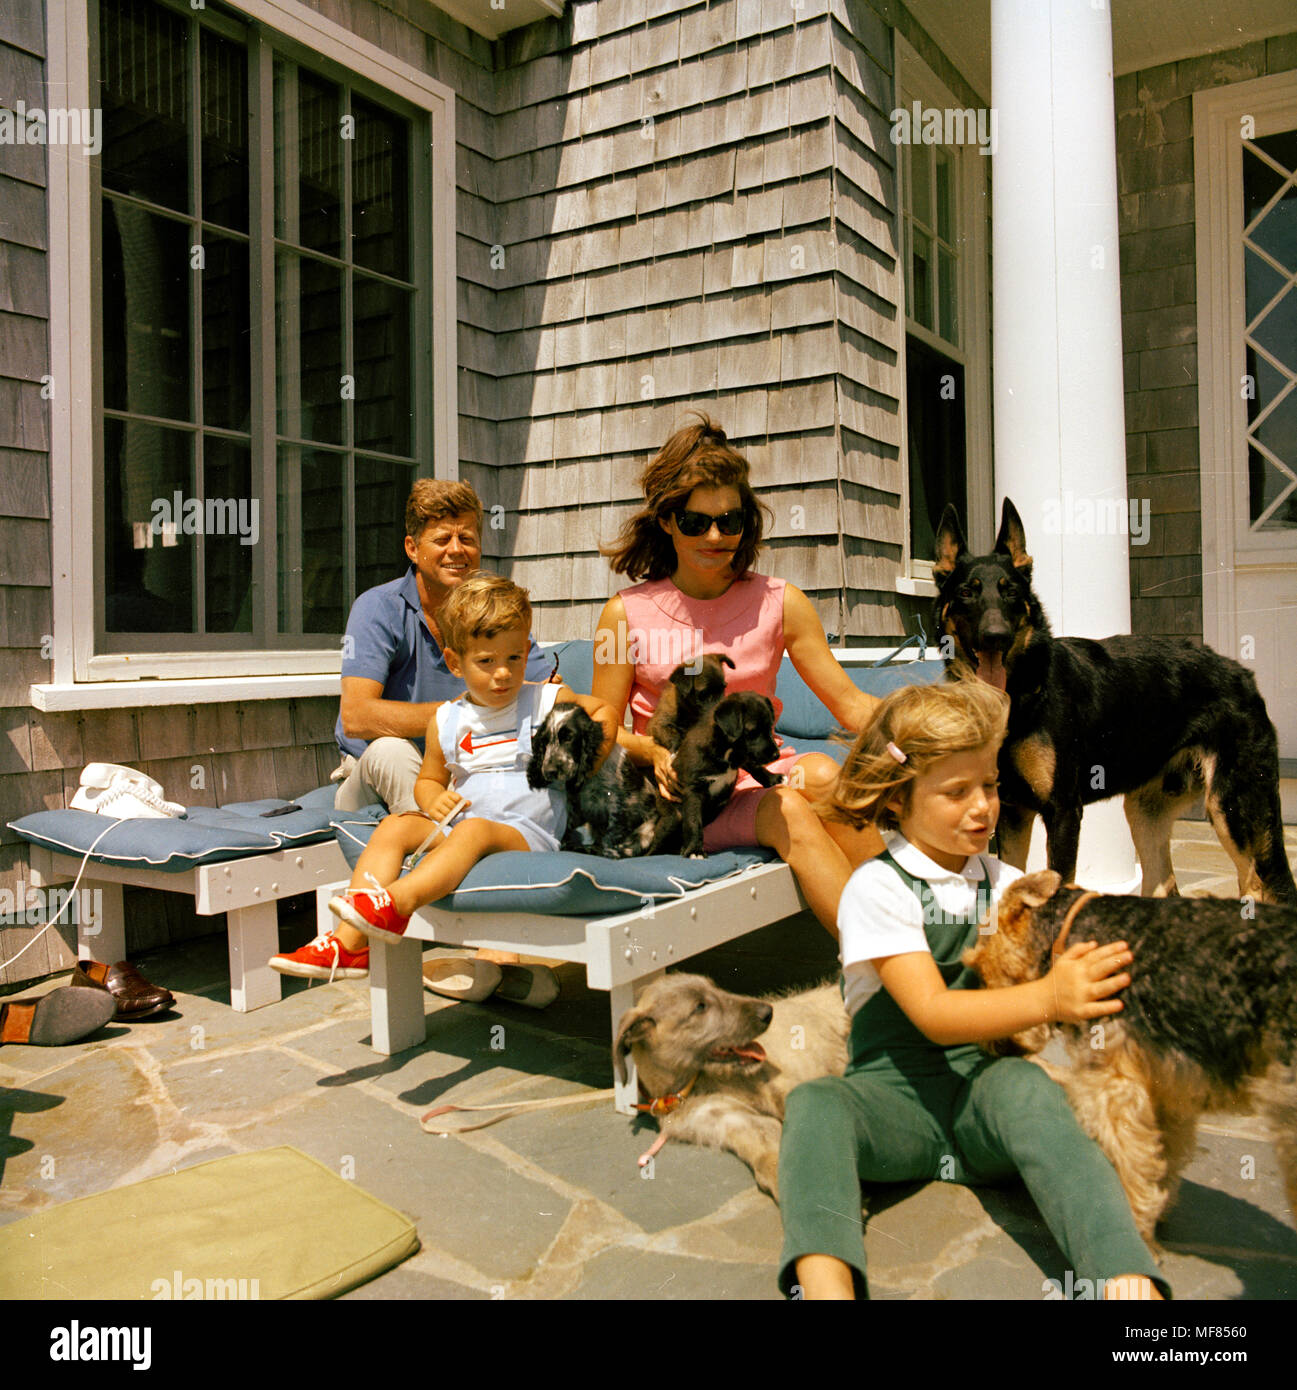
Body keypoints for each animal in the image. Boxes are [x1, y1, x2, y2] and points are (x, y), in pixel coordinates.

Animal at [525, 706, 683, 856]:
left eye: (569, 738)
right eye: (544, 741)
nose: (549, 771)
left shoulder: (617, 804)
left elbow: (611, 837)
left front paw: (601, 851)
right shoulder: (575, 806)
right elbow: (567, 826)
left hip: (646, 831)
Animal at [934, 494, 1290, 906]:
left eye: (1010, 592)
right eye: (966, 592)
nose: (996, 636)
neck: (1021, 693)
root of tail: (1243, 675)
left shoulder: (1062, 813)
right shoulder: (1012, 813)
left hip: (1232, 809)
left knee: (1256, 885)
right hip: (1144, 814)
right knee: (1164, 884)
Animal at [961, 867, 1295, 1251]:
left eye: (977, 967)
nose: (993, 1046)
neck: (1070, 933)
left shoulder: (1112, 1084)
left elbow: (1128, 1161)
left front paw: (1135, 1227)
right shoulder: (1165, 1086)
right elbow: (1159, 1157)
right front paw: (1155, 1211)